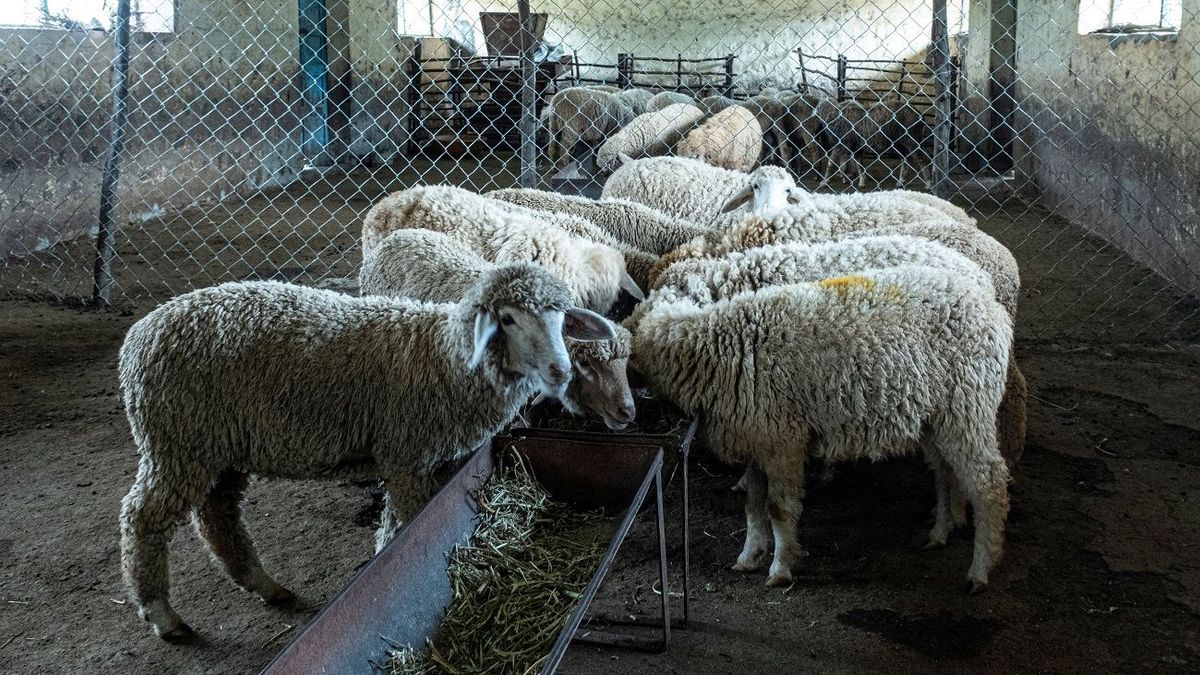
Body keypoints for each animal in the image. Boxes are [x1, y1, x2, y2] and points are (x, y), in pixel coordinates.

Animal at [118, 266, 615, 640]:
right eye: (509, 319)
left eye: (561, 317)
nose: (561, 370)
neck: (448, 358)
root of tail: (141, 333)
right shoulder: (408, 458)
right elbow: (410, 527)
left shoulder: (436, 462)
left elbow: (397, 525)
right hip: (178, 443)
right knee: (142, 518)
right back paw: (163, 615)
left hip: (217, 449)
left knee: (217, 516)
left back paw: (267, 587)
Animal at [626, 265, 1012, 591]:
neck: (717, 348)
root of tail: (991, 307)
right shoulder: (755, 436)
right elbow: (753, 504)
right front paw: (749, 556)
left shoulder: (782, 439)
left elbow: (778, 508)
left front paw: (780, 569)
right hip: (938, 416)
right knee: (944, 471)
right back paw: (940, 532)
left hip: (969, 404)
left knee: (988, 482)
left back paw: (980, 569)